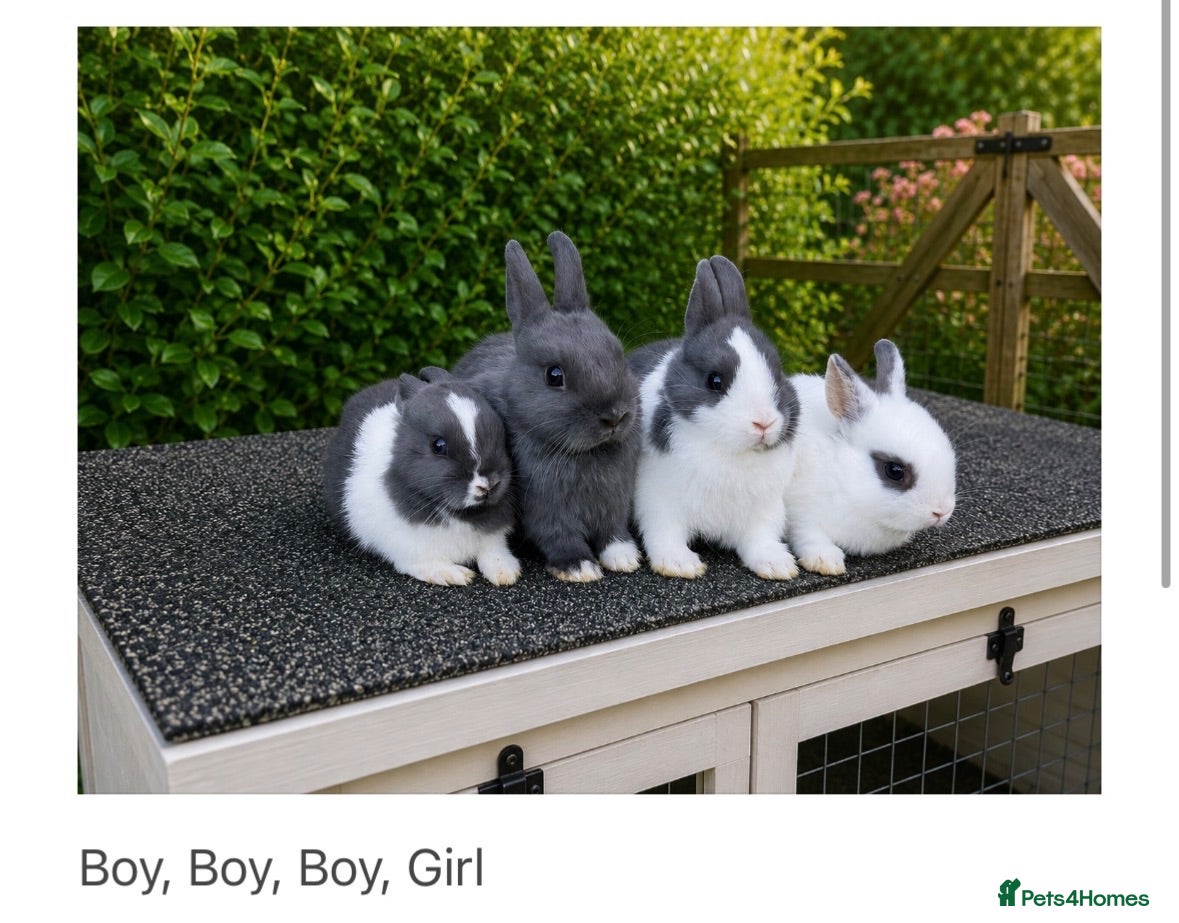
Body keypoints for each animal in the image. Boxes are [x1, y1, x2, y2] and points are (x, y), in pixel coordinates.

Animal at [323, 367, 521, 586]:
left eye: (501, 433)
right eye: (438, 445)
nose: (488, 484)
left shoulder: (493, 539)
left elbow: (493, 552)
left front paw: (506, 573)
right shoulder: (413, 550)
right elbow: (428, 565)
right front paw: (455, 575)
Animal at [451, 231, 642, 582]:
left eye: (619, 356)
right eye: (555, 376)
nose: (615, 417)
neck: (587, 454)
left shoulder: (614, 503)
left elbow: (613, 532)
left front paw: (624, 557)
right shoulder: (547, 510)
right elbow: (559, 536)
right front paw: (580, 567)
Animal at [628, 254, 801, 580]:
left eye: (777, 373)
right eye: (715, 380)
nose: (763, 423)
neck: (727, 450)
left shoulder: (763, 510)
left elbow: (760, 540)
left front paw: (778, 566)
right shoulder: (658, 500)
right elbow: (664, 534)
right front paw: (680, 565)